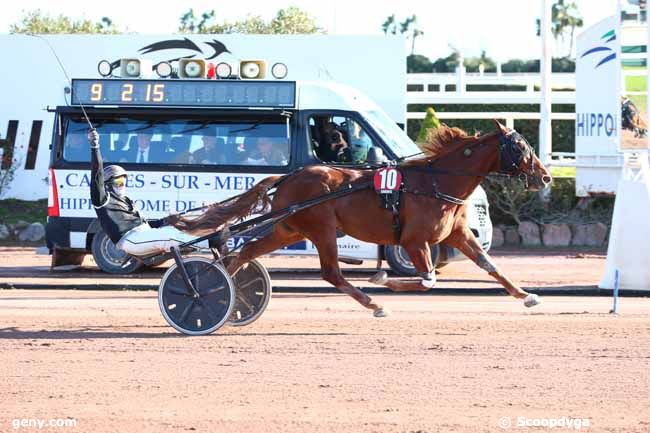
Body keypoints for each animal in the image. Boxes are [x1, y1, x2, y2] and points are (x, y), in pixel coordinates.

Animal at [170, 120, 548, 316]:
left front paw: (526, 295)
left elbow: (489, 265)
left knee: (244, 253)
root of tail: (289, 178)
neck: (437, 181)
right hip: (322, 228)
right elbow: (427, 279)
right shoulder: (414, 240)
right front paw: (384, 280)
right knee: (331, 273)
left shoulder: (457, 235)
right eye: (520, 148)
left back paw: (228, 295)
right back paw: (373, 303)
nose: (545, 177)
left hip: (290, 229)